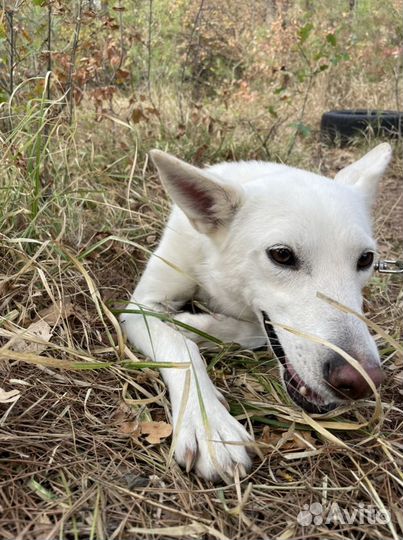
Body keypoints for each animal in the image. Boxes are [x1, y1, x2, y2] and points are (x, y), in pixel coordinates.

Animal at [120, 143, 392, 480]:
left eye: (366, 259)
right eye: (281, 255)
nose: (361, 381)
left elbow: (249, 331)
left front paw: (199, 325)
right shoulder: (140, 307)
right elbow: (180, 348)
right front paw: (209, 424)